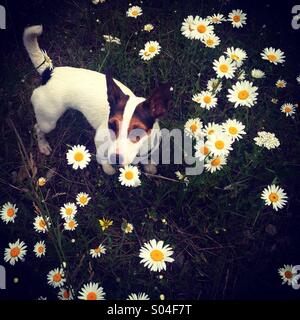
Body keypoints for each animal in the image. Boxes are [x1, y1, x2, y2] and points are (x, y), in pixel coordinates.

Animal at [23, 25, 171, 175]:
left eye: (138, 131)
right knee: (38, 128)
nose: (115, 159)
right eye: (111, 125)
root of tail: (49, 73)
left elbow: (146, 155)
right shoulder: (100, 140)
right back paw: (43, 145)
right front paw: (108, 169)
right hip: (48, 121)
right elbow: (103, 158)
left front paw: (148, 165)